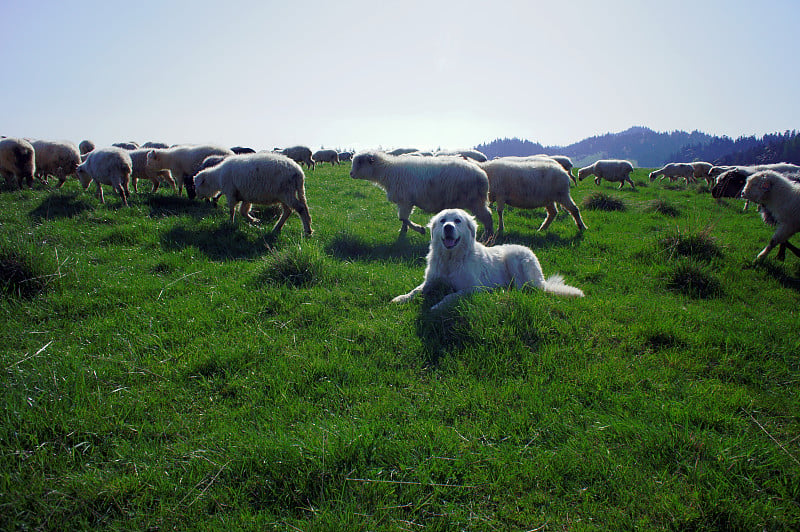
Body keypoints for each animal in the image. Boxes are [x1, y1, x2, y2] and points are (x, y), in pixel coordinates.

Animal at [352, 148, 494, 235]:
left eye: (360, 162)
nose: (350, 174)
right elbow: (403, 219)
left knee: (488, 217)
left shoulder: (405, 200)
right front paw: (403, 232)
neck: (388, 171)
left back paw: (489, 236)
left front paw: (419, 229)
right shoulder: (404, 201)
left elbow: (403, 217)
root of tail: (482, 174)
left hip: (475, 200)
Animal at [390, 207, 584, 310]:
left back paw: (503, 290)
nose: (448, 227)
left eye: (457, 221)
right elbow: (416, 290)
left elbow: (451, 296)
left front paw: (437, 306)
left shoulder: (473, 288)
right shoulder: (431, 280)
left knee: (525, 289)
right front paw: (401, 298)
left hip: (515, 259)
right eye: (442, 220)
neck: (450, 259)